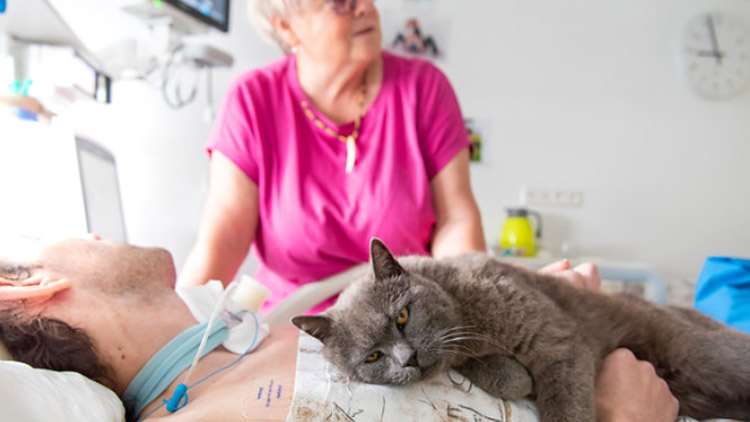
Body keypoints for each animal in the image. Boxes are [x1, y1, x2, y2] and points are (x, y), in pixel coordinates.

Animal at [294, 239, 750, 420]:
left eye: (402, 317)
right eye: (373, 356)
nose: (409, 359)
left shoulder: (559, 344)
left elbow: (565, 406)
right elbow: (502, 375)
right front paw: (516, 377)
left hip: (698, 352)